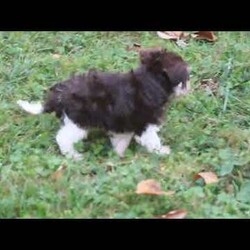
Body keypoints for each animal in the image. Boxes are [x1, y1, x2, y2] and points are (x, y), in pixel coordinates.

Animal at [17, 47, 189, 159]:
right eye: (187, 77)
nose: (190, 87)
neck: (149, 80)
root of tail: (61, 93)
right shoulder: (145, 123)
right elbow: (152, 140)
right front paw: (162, 151)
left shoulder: (122, 122)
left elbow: (121, 140)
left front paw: (118, 155)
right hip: (79, 122)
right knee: (63, 138)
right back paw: (73, 155)